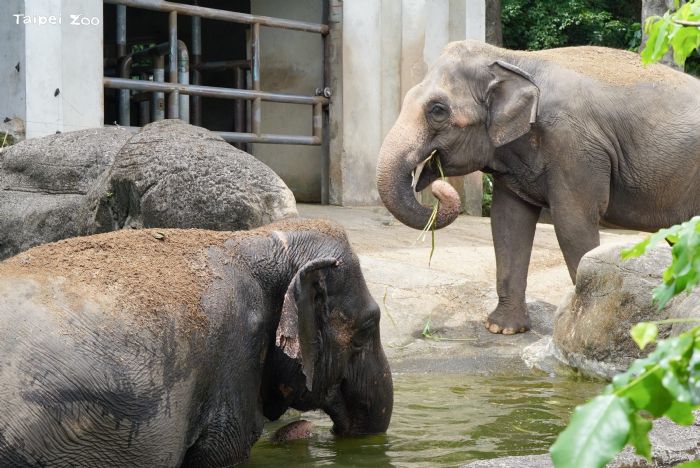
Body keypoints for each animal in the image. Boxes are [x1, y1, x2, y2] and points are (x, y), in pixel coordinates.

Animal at [377, 40, 700, 335]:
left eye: (438, 110)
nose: (438, 189)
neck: (511, 58)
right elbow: (508, 222)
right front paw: (503, 329)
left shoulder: (574, 147)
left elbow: (572, 224)